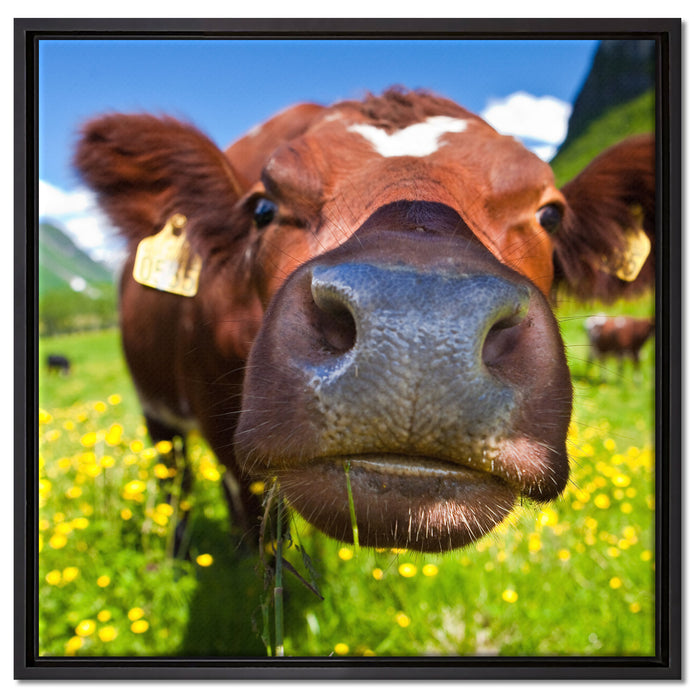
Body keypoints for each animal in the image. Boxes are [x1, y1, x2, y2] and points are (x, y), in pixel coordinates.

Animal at [74, 88, 655, 553]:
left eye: (549, 214)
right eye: (263, 209)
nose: (421, 326)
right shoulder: (220, 427)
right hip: (157, 409)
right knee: (176, 481)